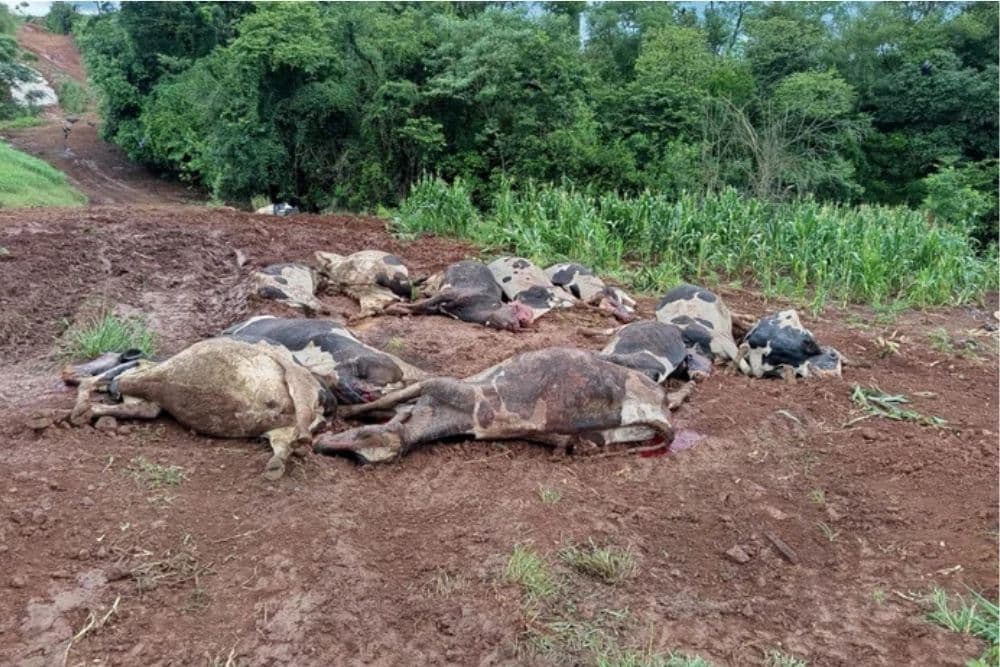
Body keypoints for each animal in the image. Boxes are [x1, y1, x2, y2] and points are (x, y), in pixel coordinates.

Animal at [69, 338, 334, 480]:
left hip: (297, 384)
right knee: (286, 445)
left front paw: (82, 407)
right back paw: (279, 462)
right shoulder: (151, 392)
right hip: (283, 425)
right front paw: (83, 410)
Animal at [315, 347, 694, 464]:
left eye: (362, 443)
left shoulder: (442, 385)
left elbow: (388, 401)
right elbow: (391, 406)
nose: (322, 446)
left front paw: (338, 412)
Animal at [386, 260, 533, 331]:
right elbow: (422, 304)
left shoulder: (439, 307)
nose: (523, 322)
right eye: (517, 309)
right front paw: (392, 308)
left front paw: (398, 309)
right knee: (422, 283)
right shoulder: (449, 293)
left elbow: (424, 307)